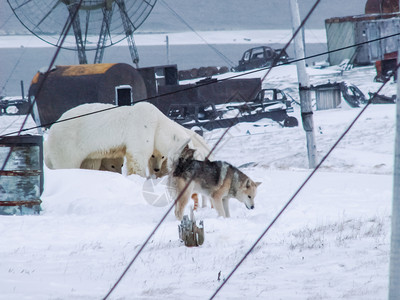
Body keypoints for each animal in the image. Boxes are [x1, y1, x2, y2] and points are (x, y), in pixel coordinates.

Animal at [44, 102, 211, 177]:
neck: (158, 121)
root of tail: (51, 130)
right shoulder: (142, 127)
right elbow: (138, 155)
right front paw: (140, 177)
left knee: (89, 162)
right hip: (67, 142)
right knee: (66, 162)